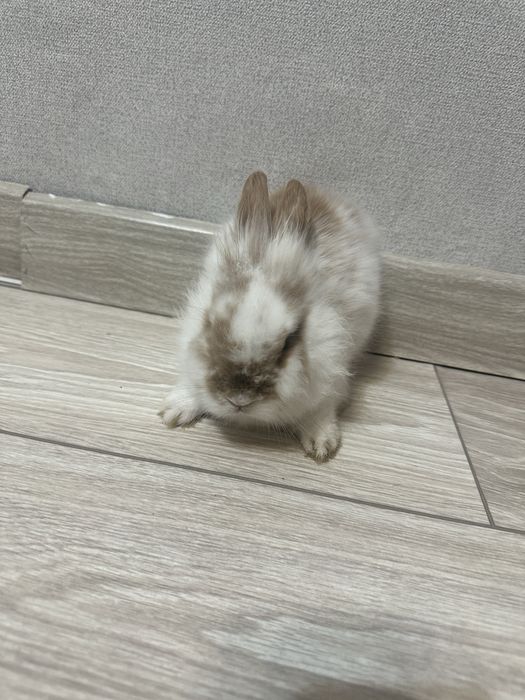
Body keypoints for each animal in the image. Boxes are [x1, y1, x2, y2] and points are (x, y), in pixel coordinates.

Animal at [159, 171, 381, 463]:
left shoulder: (333, 373)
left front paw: (321, 444)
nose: (239, 400)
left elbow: (321, 408)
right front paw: (173, 412)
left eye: (290, 341)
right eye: (209, 324)